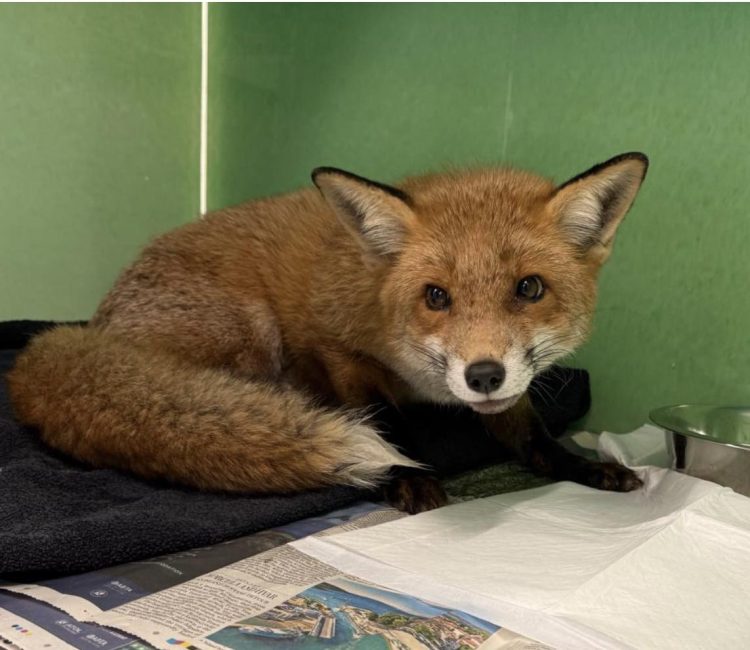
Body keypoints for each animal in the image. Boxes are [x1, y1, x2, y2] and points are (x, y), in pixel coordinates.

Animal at [8, 152, 648, 513]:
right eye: (435, 296)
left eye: (529, 288)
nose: (482, 375)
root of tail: (93, 330)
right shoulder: (337, 348)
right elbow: (382, 420)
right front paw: (406, 476)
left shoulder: (510, 390)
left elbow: (535, 437)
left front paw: (587, 466)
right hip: (252, 332)